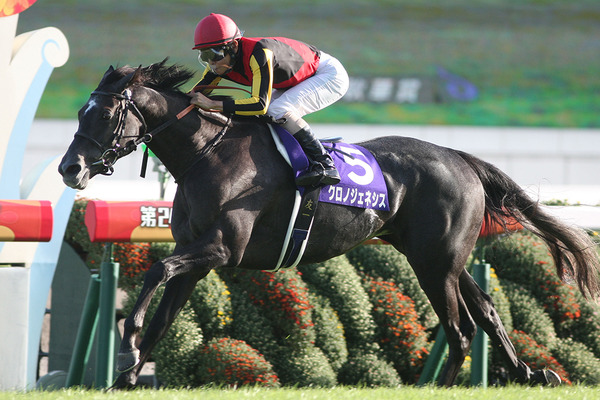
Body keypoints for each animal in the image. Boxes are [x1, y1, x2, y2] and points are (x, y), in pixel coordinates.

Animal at [57, 61, 600, 390]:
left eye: (103, 113)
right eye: (81, 110)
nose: (69, 168)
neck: (206, 155)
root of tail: (460, 157)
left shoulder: (223, 249)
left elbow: (156, 271)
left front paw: (126, 348)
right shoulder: (199, 257)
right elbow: (165, 310)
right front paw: (126, 376)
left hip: (435, 262)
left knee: (461, 328)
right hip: (439, 256)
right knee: (485, 309)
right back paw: (529, 373)